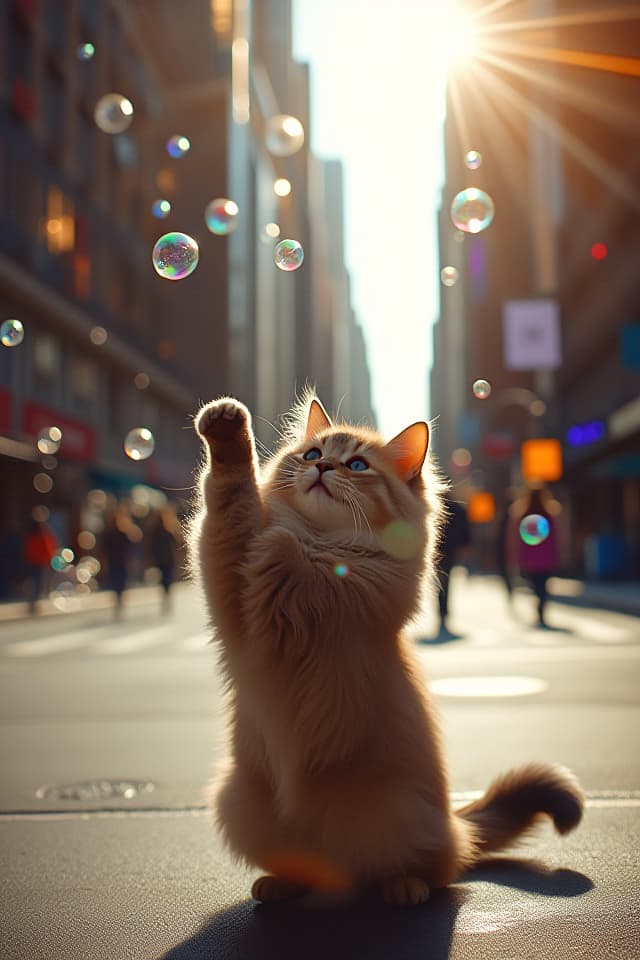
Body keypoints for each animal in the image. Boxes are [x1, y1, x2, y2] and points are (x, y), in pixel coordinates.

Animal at [188, 396, 584, 908]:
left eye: (357, 466)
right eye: (313, 454)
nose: (324, 468)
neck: (321, 541)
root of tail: (455, 824)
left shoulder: (345, 599)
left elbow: (296, 560)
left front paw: (287, 548)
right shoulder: (230, 572)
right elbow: (232, 496)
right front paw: (225, 426)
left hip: (396, 818)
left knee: (432, 869)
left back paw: (403, 887)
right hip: (240, 802)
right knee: (313, 868)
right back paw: (281, 884)